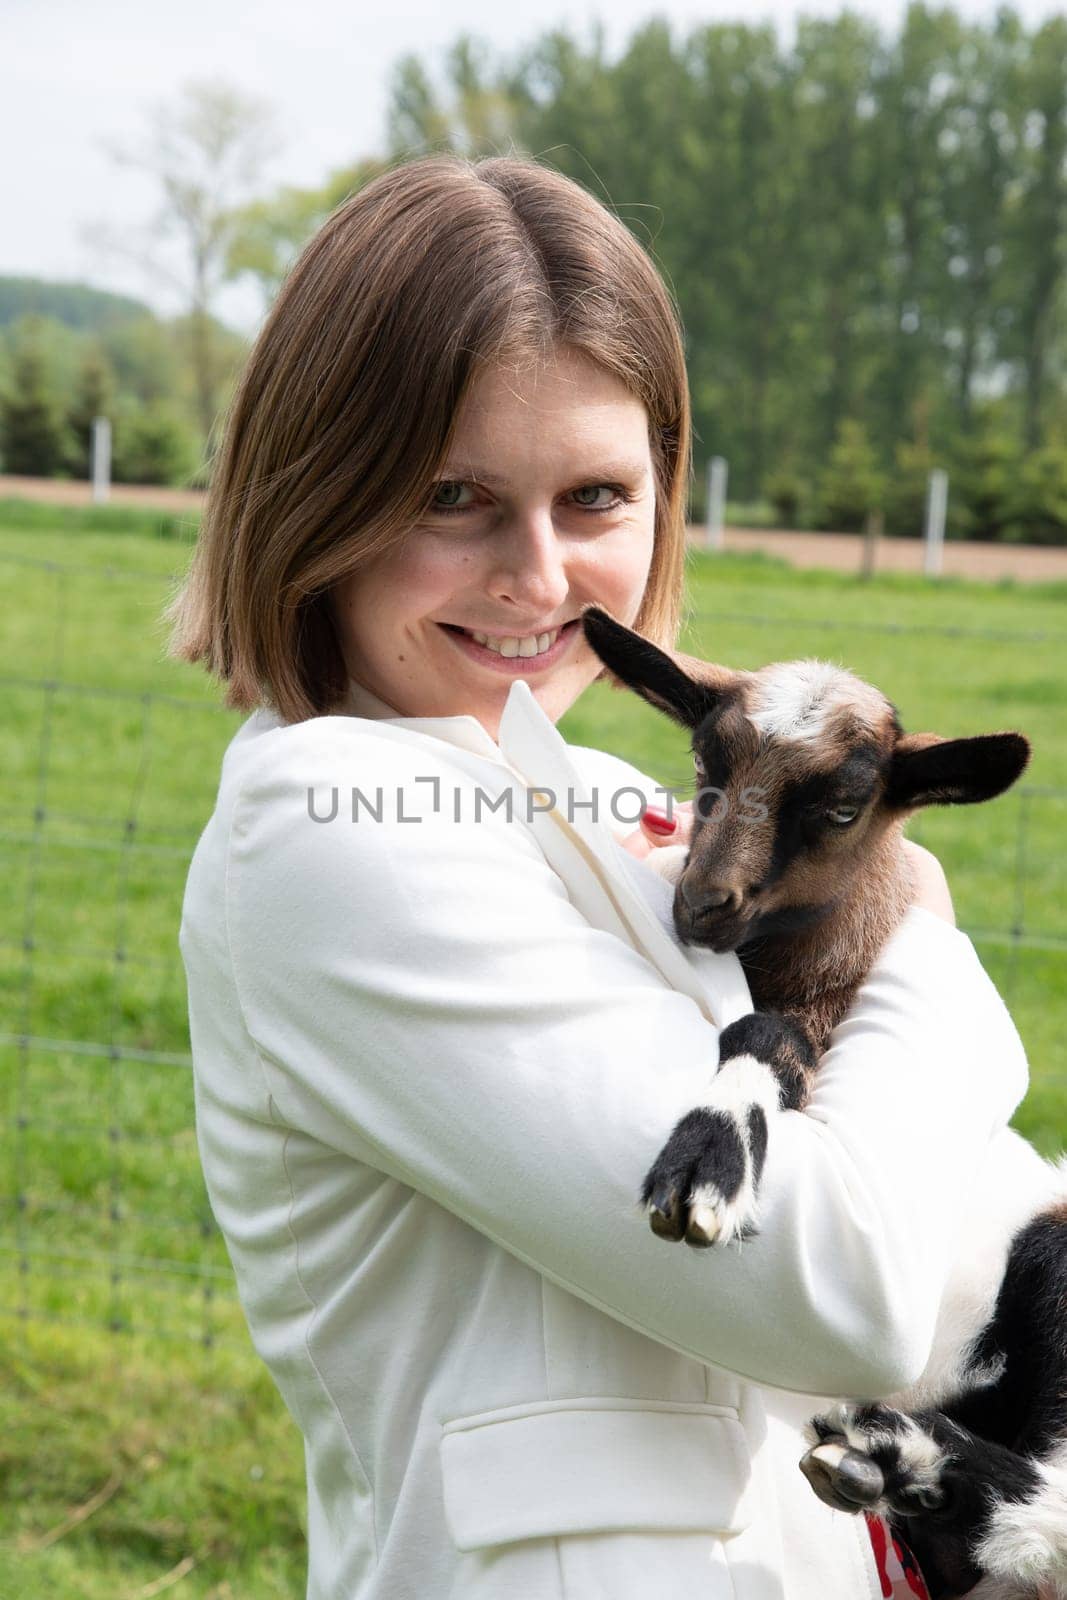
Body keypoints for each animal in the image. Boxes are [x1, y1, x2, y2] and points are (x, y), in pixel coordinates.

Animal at [585, 604, 1067, 1600]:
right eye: (703, 768)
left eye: (844, 808)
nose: (702, 905)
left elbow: (771, 1037)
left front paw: (710, 1158)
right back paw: (894, 1471)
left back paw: (906, 1457)